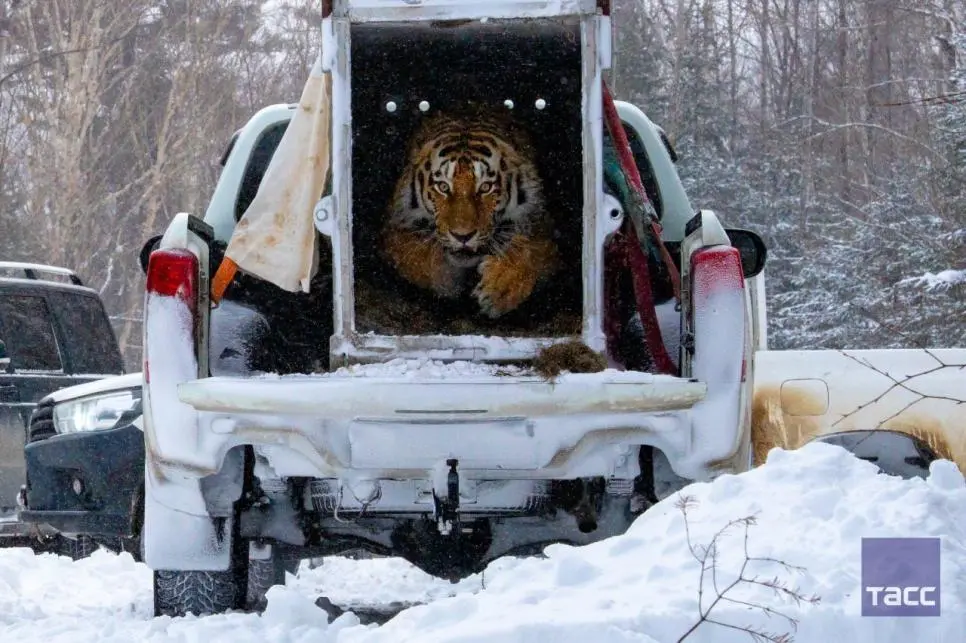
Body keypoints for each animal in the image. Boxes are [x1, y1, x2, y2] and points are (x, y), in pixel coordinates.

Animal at [378, 111, 560, 322]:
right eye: (443, 187)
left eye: (485, 187)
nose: (462, 236)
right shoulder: (393, 227)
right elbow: (412, 255)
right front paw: (446, 281)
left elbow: (534, 249)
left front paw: (499, 289)